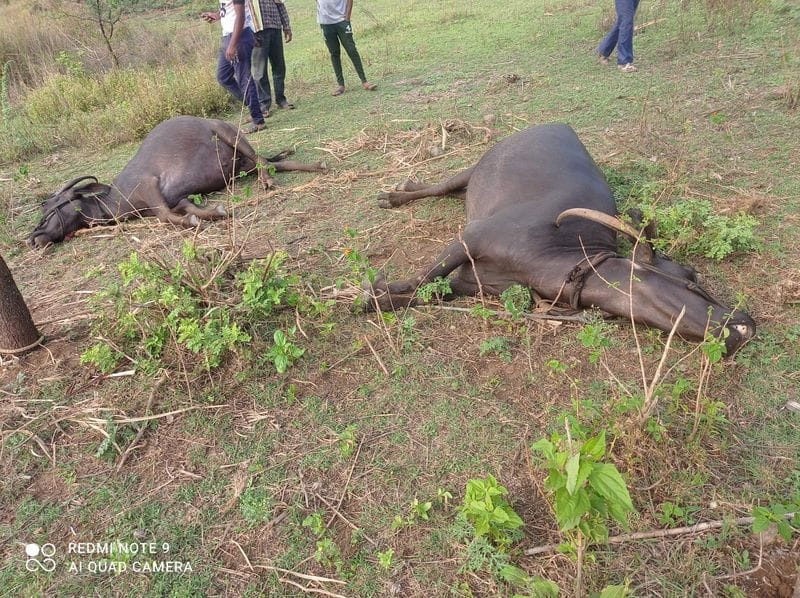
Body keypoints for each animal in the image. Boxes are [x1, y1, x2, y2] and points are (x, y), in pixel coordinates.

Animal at [28, 115, 324, 248]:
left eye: (51, 208)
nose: (34, 239)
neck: (116, 199)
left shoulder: (150, 188)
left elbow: (164, 216)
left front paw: (193, 222)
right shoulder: (178, 198)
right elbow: (188, 208)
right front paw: (214, 213)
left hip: (229, 135)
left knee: (263, 161)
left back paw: (268, 181)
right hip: (240, 168)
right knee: (274, 163)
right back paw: (317, 165)